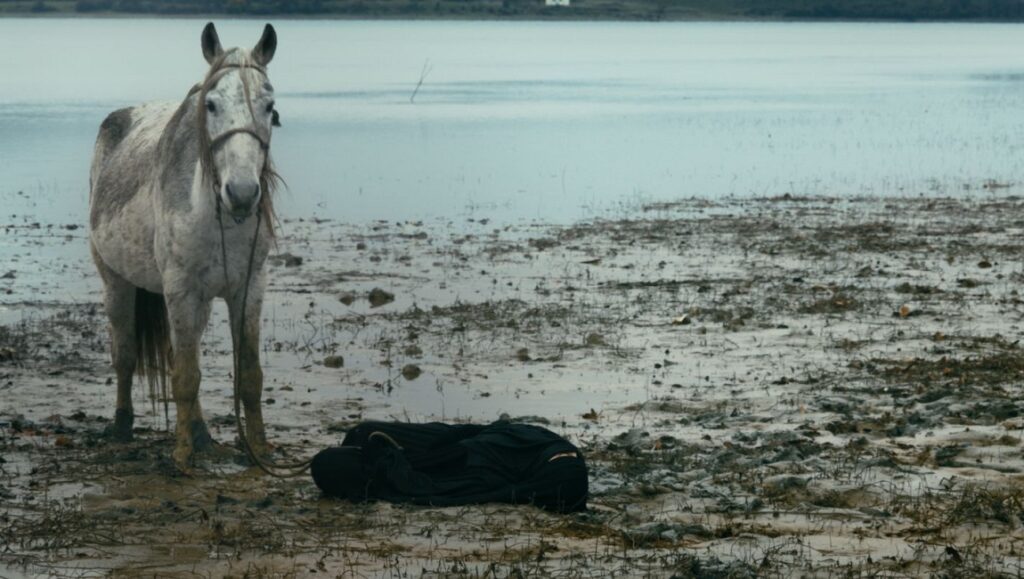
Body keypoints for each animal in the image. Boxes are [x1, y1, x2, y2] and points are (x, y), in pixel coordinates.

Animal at [89, 22, 280, 470]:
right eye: (210, 104)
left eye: (270, 106)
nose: (242, 193)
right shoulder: (179, 289)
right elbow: (184, 377)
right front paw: (180, 457)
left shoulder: (249, 288)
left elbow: (249, 374)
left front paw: (259, 450)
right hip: (116, 283)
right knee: (126, 354)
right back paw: (123, 426)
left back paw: (203, 435)